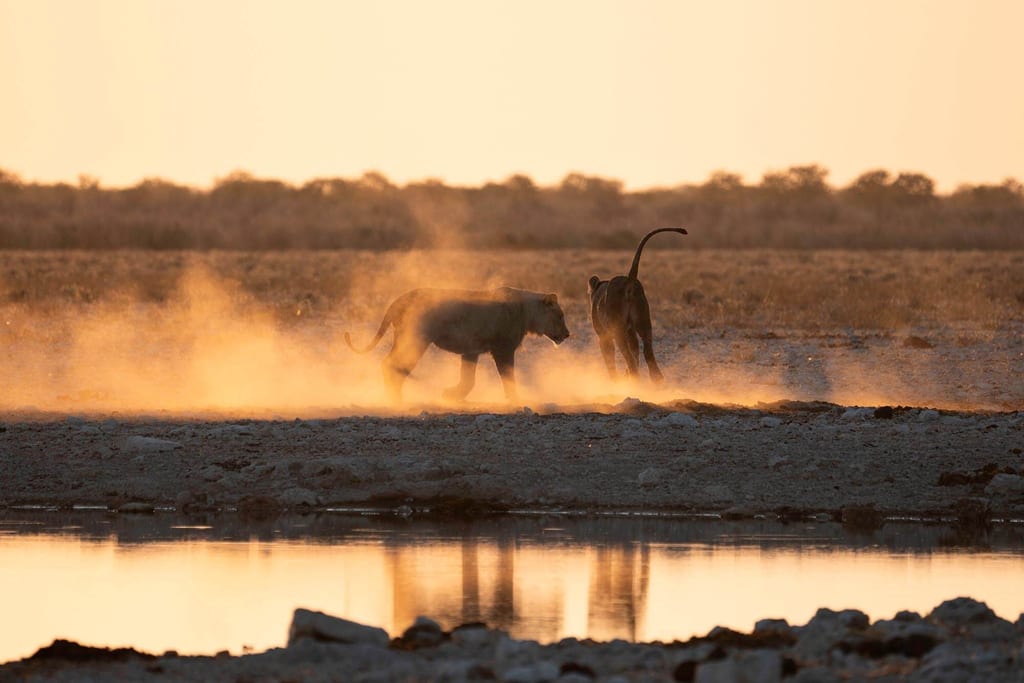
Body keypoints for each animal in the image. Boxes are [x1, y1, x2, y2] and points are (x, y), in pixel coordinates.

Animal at [345, 287, 570, 402]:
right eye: (560, 316)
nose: (567, 334)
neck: (527, 312)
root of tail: (398, 300)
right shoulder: (503, 348)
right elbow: (508, 375)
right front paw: (516, 399)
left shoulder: (471, 349)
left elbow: (469, 378)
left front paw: (451, 395)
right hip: (415, 339)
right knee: (394, 365)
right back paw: (396, 398)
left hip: (404, 338)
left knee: (388, 363)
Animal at [587, 227, 687, 382]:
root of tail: (629, 280)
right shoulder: (631, 329)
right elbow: (635, 352)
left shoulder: (603, 335)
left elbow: (609, 358)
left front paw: (614, 380)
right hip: (643, 322)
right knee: (647, 351)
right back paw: (657, 381)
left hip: (618, 329)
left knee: (628, 356)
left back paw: (634, 380)